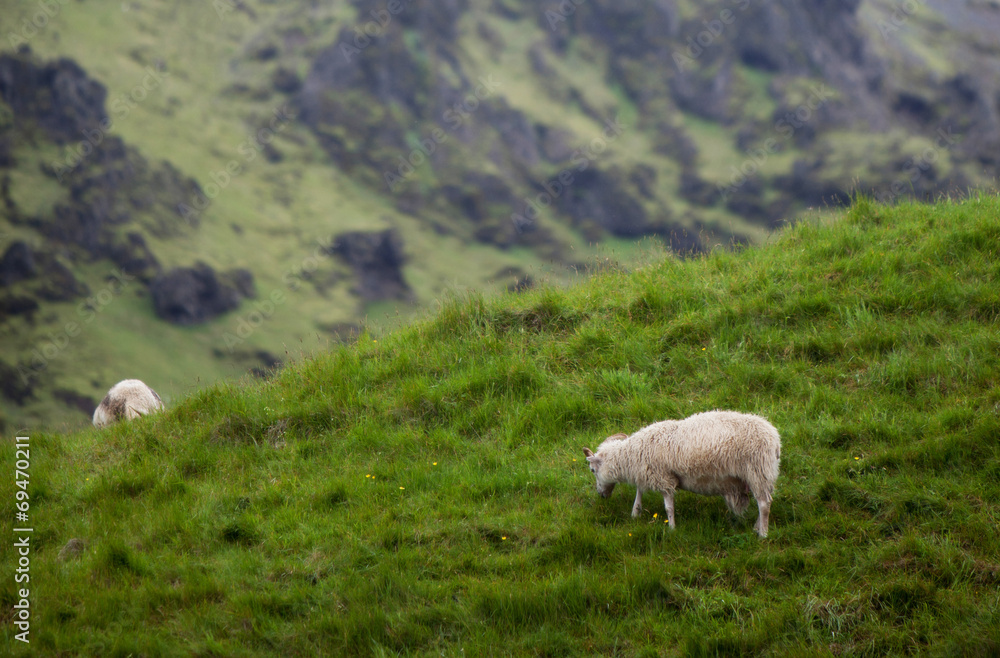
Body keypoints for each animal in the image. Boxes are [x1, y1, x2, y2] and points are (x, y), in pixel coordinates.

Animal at [584, 408, 780, 536]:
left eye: (592, 470)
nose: (601, 495)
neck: (633, 454)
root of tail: (775, 439)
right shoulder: (647, 473)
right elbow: (639, 493)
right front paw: (635, 514)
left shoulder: (663, 477)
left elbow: (668, 507)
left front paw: (671, 528)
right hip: (760, 474)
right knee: (764, 502)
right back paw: (757, 527)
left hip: (757, 471)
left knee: (764, 504)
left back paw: (763, 534)